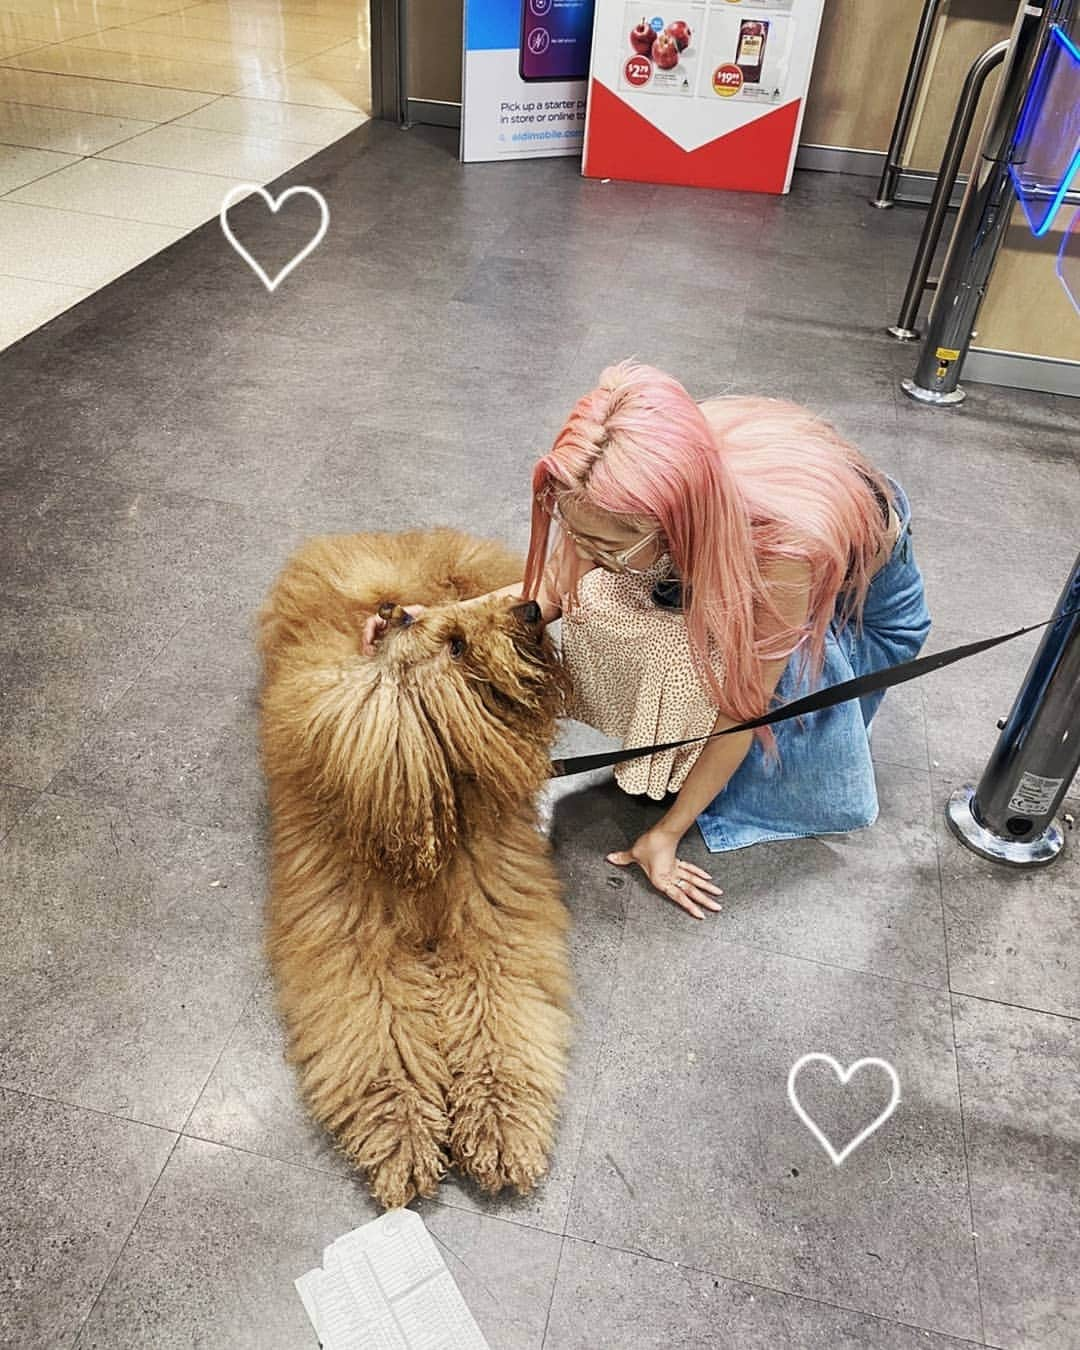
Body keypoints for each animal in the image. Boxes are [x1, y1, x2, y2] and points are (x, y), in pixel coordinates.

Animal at [257, 529, 572, 1215]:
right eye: (454, 645)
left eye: (457, 628)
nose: (532, 608)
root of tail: (380, 541)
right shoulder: (354, 947)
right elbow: (382, 1038)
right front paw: (402, 1134)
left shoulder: (491, 929)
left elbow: (496, 1021)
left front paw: (499, 1124)